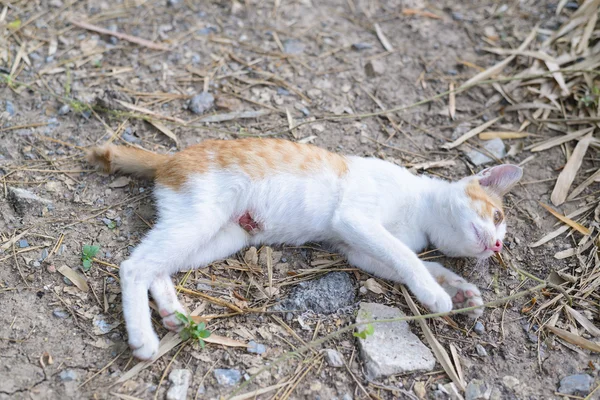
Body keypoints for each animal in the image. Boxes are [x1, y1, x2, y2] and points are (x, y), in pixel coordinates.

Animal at [86, 138, 524, 360]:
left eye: (501, 227)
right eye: (498, 215)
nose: (497, 245)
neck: (421, 210)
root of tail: (169, 159)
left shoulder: (357, 249)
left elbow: (414, 263)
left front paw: (462, 291)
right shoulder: (355, 220)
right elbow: (407, 258)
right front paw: (437, 296)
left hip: (216, 237)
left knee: (157, 265)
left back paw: (171, 313)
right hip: (199, 218)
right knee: (134, 266)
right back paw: (143, 338)